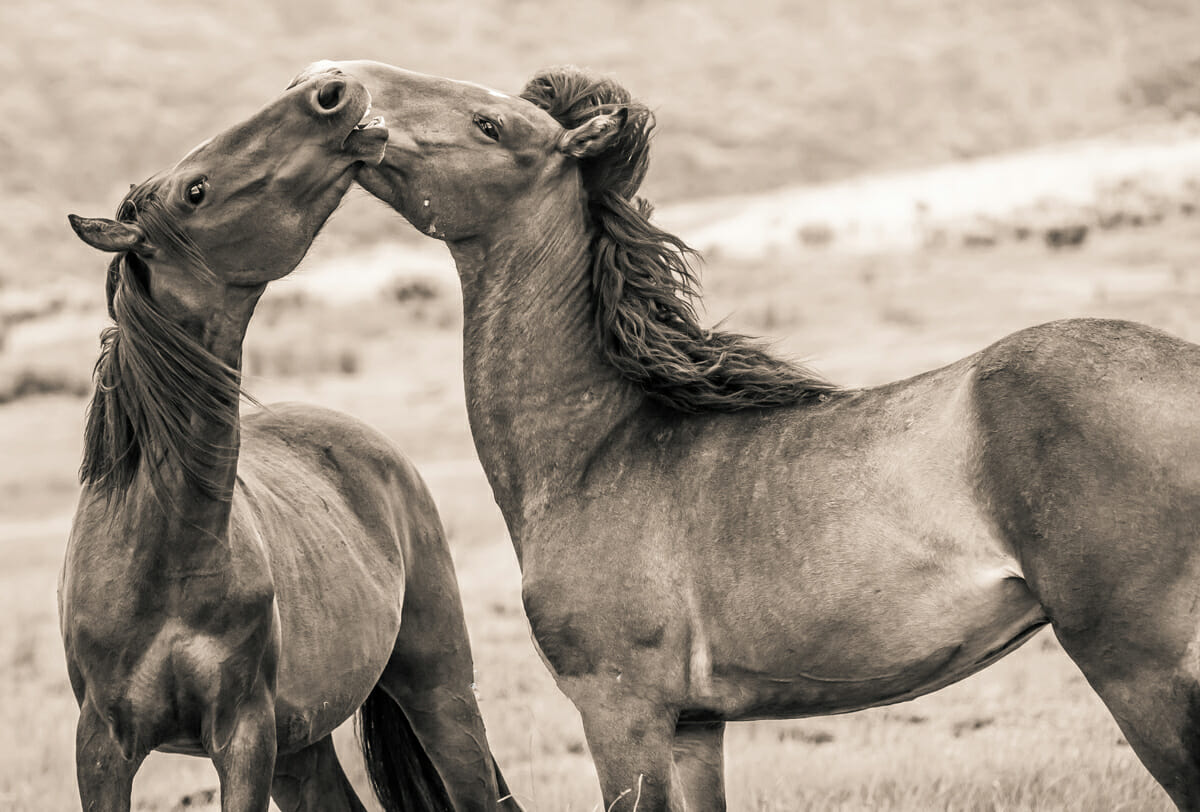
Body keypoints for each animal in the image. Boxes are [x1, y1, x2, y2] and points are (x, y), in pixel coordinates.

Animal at [62, 69, 516, 810]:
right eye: (194, 192)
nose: (329, 89)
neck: (160, 550)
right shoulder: (103, 747)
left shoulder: (244, 737)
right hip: (302, 747)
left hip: (437, 691)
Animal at [300, 60, 1200, 806]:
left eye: (490, 126)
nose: (344, 88)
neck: (599, 454)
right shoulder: (697, 728)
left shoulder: (621, 712)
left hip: (1138, 668)